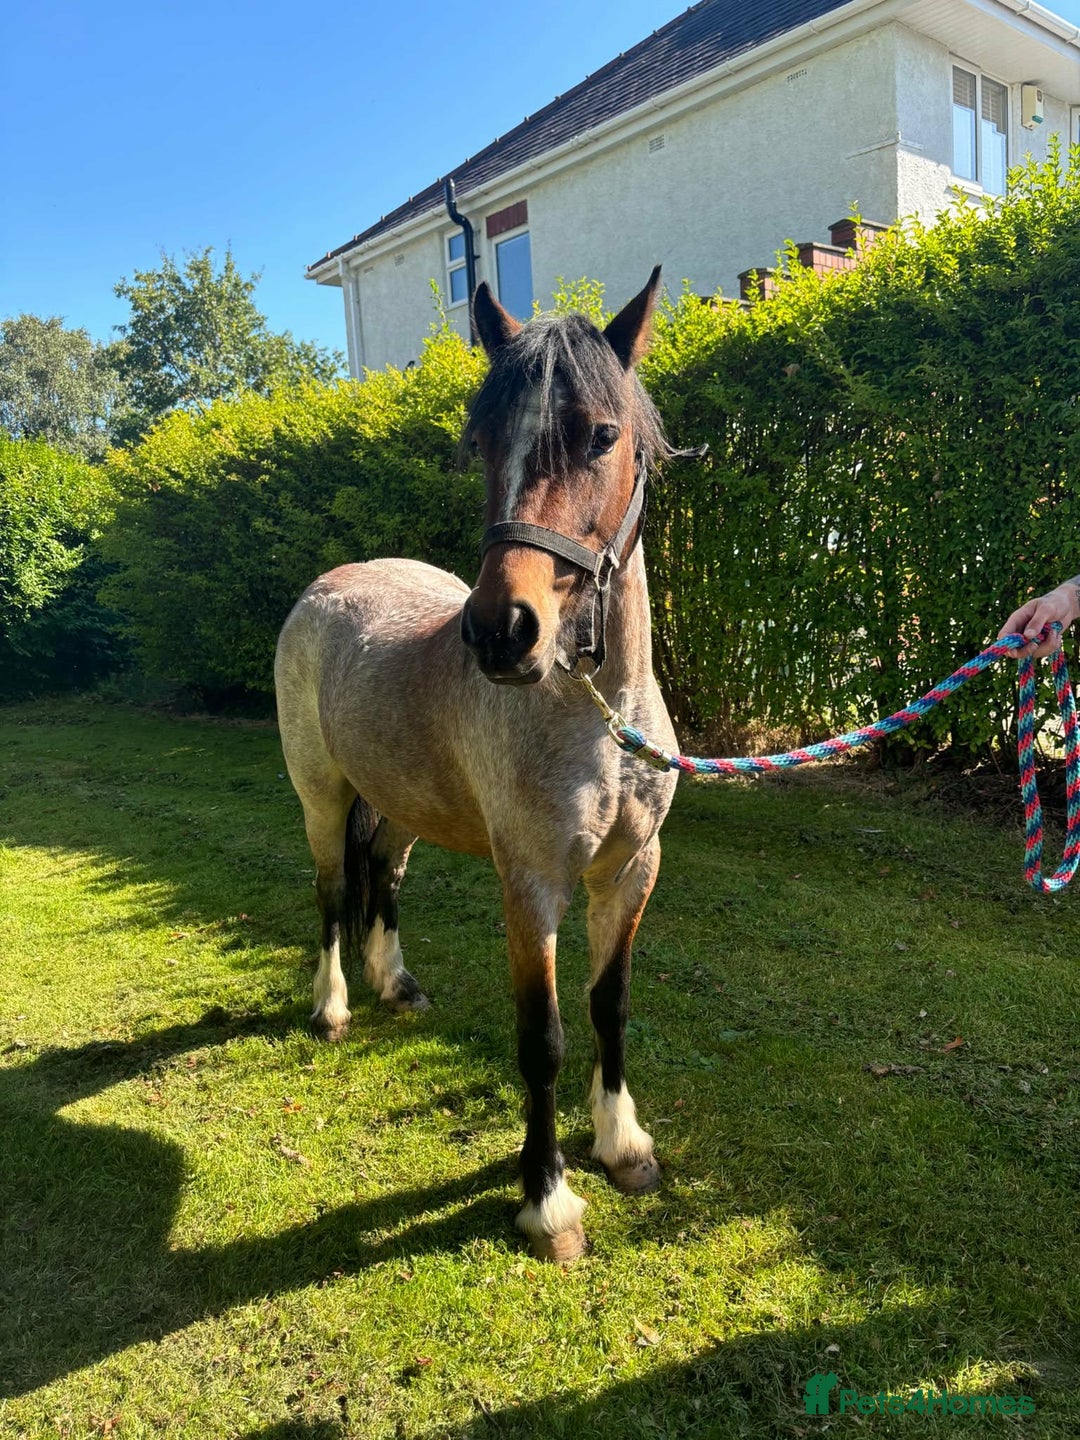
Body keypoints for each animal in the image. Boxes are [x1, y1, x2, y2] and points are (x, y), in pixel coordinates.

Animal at [274, 269, 679, 1262]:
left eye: (601, 435)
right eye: (483, 441)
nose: (503, 633)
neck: (598, 718)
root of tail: (329, 585)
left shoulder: (631, 872)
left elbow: (609, 1005)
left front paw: (623, 1145)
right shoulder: (531, 883)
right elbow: (544, 1038)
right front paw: (549, 1201)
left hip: (400, 805)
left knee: (383, 875)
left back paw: (397, 984)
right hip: (321, 794)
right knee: (333, 892)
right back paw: (333, 1006)